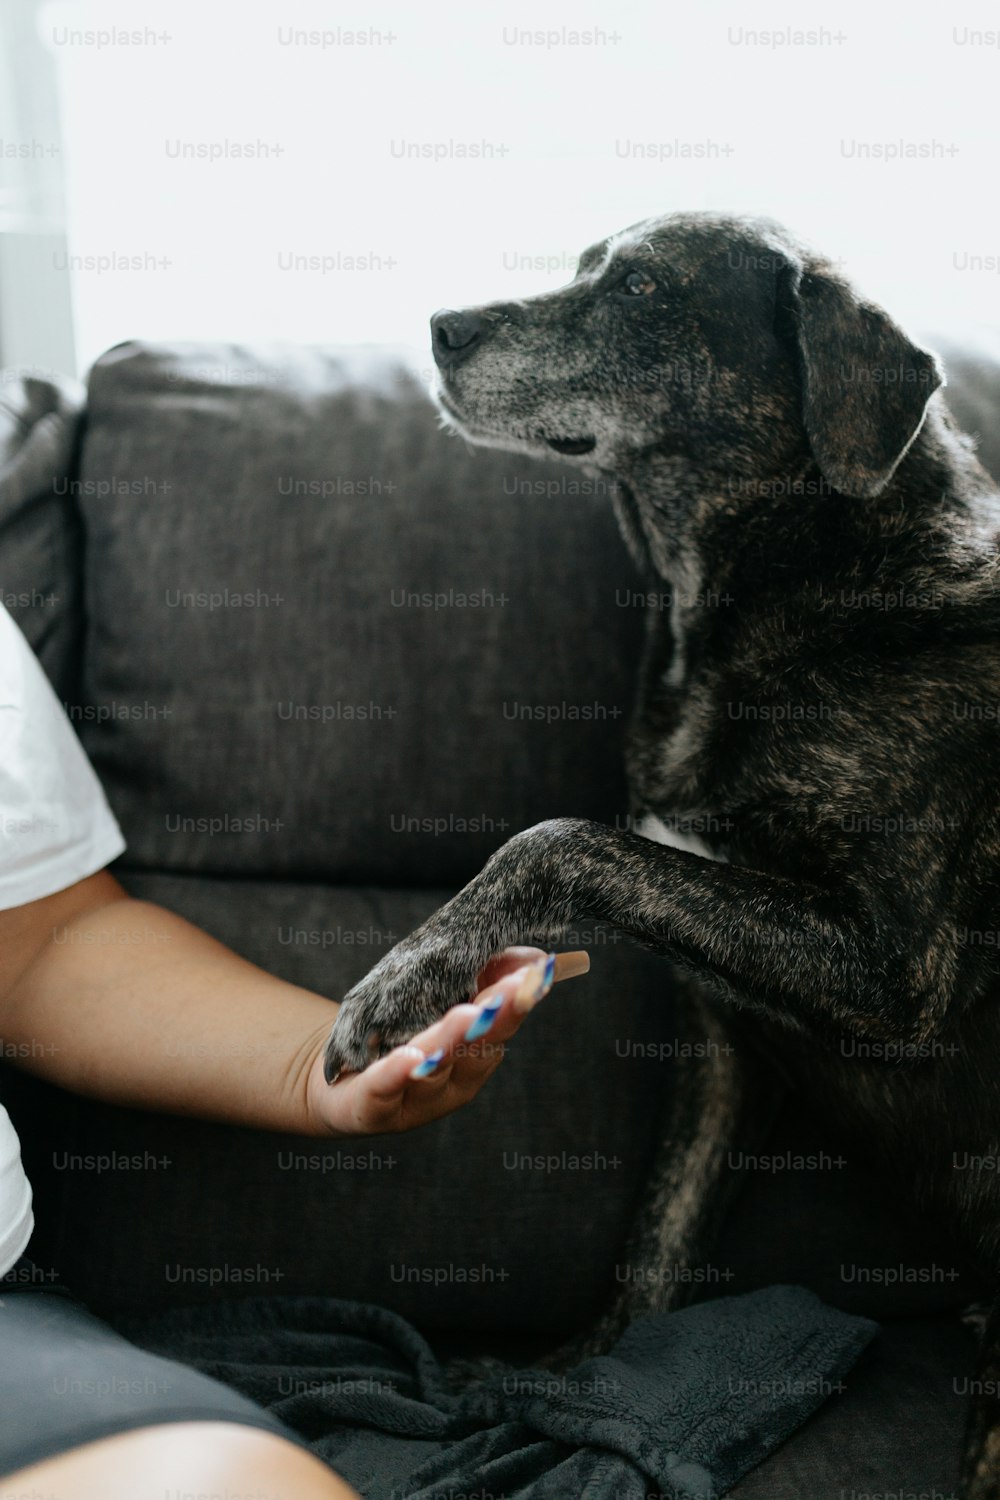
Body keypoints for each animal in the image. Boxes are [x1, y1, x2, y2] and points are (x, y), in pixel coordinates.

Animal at [325, 214, 1000, 1500]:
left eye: (639, 287)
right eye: (589, 261)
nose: (441, 327)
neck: (791, 579)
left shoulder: (895, 975)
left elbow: (554, 839)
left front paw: (404, 977)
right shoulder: (725, 1029)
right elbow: (659, 1233)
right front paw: (577, 1383)